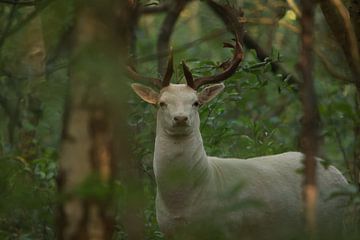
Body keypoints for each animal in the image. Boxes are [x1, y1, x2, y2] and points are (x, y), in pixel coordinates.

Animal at [129, 1, 346, 238]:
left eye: (196, 102)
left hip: (333, 223)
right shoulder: (168, 230)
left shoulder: (230, 228)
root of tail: (342, 177)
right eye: (162, 103)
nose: (180, 118)